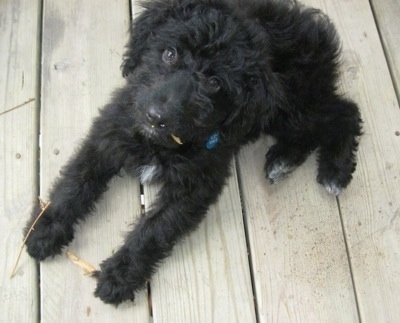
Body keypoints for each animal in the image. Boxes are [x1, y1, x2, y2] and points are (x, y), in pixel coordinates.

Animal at [25, 0, 362, 306]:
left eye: (214, 83)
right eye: (169, 53)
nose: (155, 116)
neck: (160, 143)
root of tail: (314, 27)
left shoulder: (195, 185)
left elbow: (153, 230)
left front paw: (120, 276)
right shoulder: (108, 135)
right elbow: (75, 182)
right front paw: (44, 229)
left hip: (293, 105)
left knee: (346, 112)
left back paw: (333, 170)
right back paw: (285, 159)